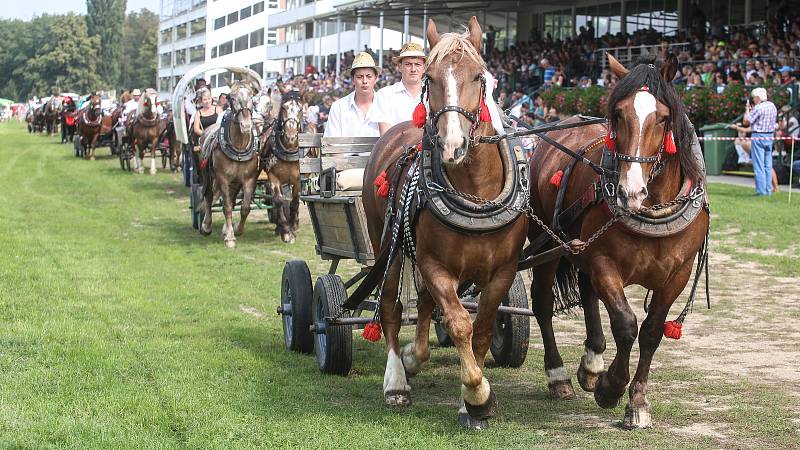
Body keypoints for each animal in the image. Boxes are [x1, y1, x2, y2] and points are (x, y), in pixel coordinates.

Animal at [360, 15, 528, 428]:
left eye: (478, 76)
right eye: (430, 77)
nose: (453, 145)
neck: (476, 195)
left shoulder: (502, 270)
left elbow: (482, 328)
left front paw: (471, 403)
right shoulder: (434, 264)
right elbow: (459, 323)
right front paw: (478, 394)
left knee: (422, 304)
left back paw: (413, 358)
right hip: (387, 244)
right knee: (391, 308)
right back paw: (397, 379)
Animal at [532, 55, 708, 428]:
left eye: (663, 118)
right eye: (618, 113)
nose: (630, 192)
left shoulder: (678, 274)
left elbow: (652, 331)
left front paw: (637, 402)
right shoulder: (605, 263)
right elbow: (626, 324)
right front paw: (611, 387)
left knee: (587, 292)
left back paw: (591, 362)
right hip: (547, 243)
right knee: (542, 302)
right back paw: (559, 376)